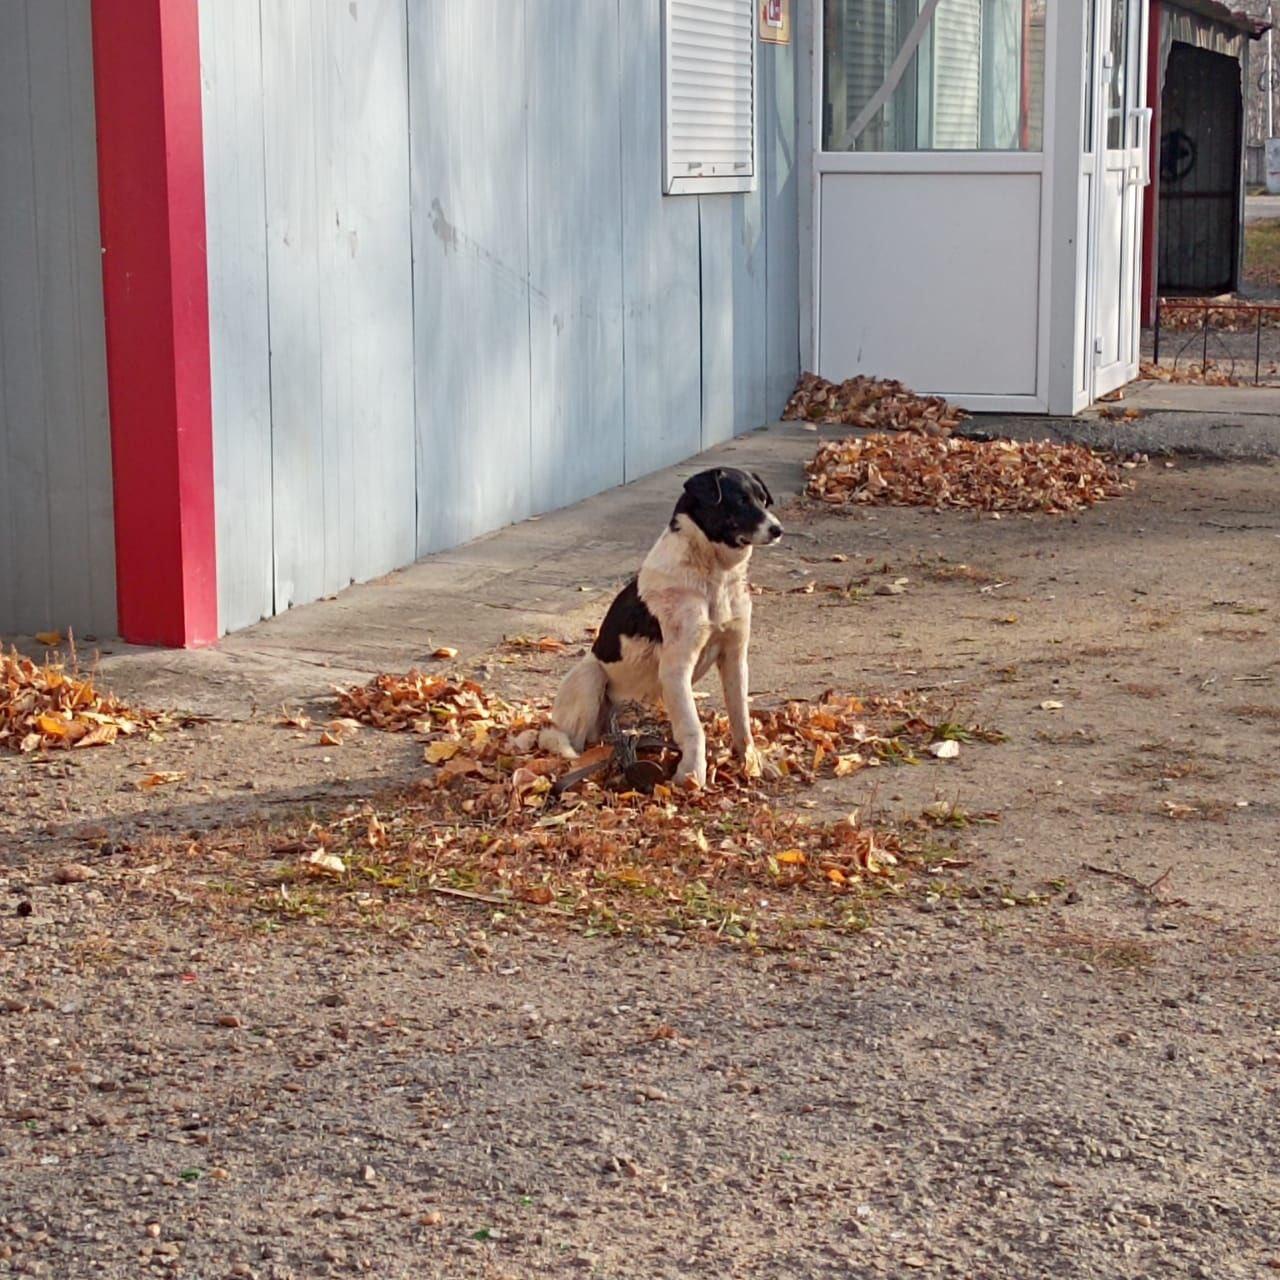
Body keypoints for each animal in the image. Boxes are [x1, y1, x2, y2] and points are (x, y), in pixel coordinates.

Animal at [537, 468, 778, 783]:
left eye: (763, 499)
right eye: (740, 500)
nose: (778, 529)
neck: (713, 575)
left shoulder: (734, 658)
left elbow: (742, 720)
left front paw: (752, 762)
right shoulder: (676, 668)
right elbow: (694, 728)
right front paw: (692, 774)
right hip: (590, 676)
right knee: (578, 742)